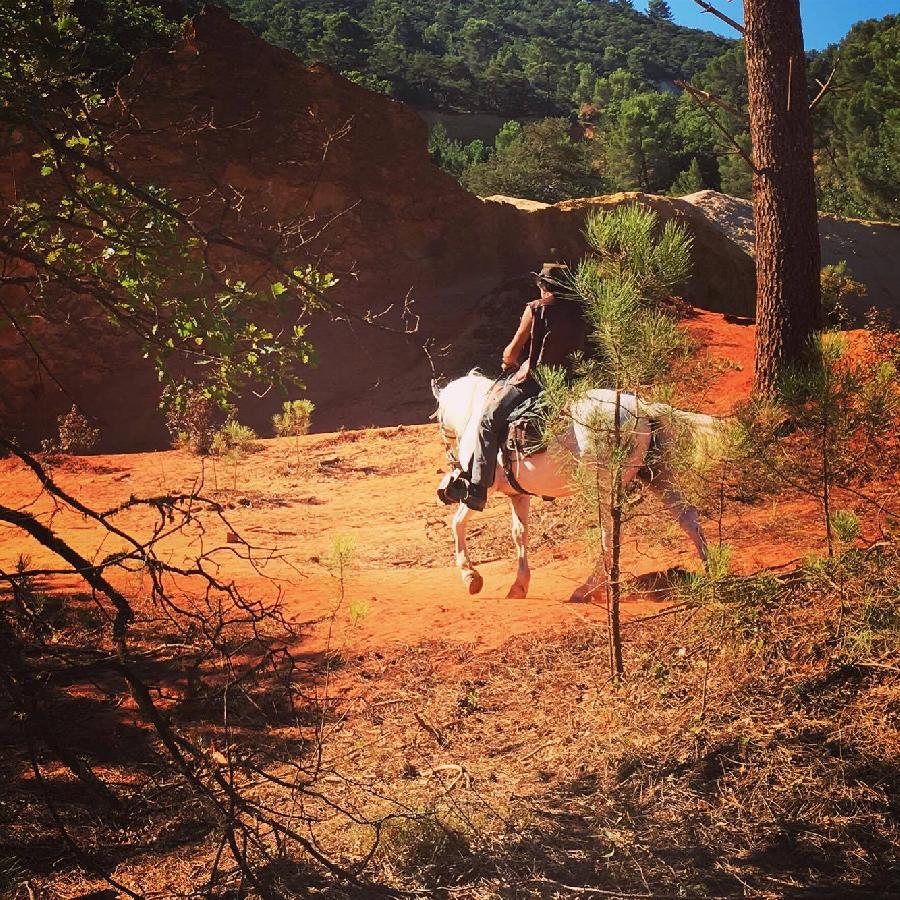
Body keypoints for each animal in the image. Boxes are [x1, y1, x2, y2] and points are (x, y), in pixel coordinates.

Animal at [432, 372, 720, 604]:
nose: (447, 485)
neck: (475, 414)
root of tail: (641, 407)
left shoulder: (482, 488)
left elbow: (458, 523)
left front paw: (471, 576)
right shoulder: (519, 495)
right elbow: (519, 535)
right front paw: (519, 585)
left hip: (606, 488)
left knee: (607, 535)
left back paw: (587, 589)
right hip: (657, 475)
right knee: (688, 516)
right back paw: (712, 569)